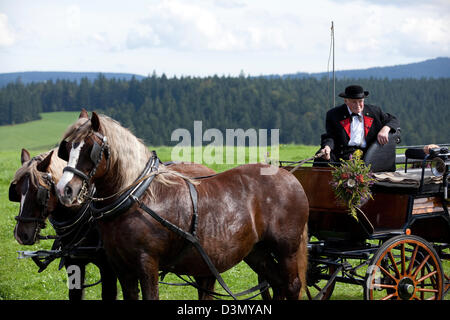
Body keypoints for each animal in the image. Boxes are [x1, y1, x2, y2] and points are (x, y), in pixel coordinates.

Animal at [55, 110, 310, 300]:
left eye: (90, 148)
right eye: (67, 148)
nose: (64, 189)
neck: (138, 197)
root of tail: (289, 176)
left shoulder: (147, 263)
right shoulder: (121, 268)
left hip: (286, 250)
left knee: (292, 286)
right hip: (257, 251)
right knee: (277, 284)